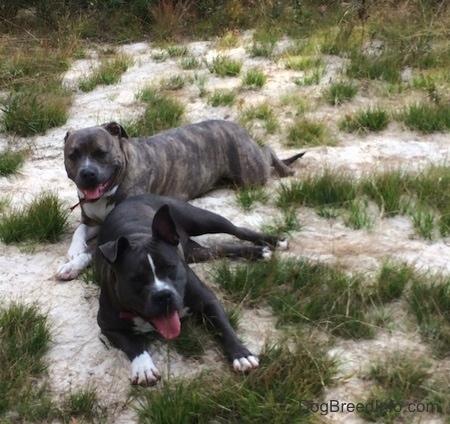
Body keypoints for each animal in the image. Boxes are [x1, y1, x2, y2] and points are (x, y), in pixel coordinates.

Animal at [55, 118, 302, 282]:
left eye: (101, 152)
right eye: (73, 155)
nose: (87, 173)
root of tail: (235, 124)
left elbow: (93, 250)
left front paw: (72, 265)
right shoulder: (92, 220)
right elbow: (79, 231)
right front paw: (74, 251)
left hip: (251, 174)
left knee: (267, 152)